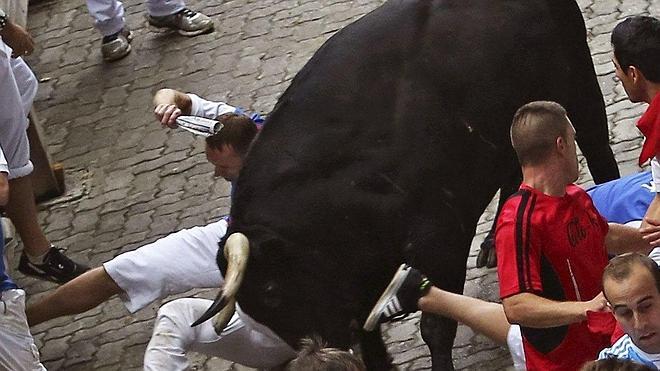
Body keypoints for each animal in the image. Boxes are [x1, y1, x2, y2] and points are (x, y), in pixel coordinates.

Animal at [201, 0, 620, 370]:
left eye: (272, 291)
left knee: (597, 146)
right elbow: (372, 346)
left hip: (578, 85)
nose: (319, 347)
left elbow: (435, 325)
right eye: (256, 307)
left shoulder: (439, 237)